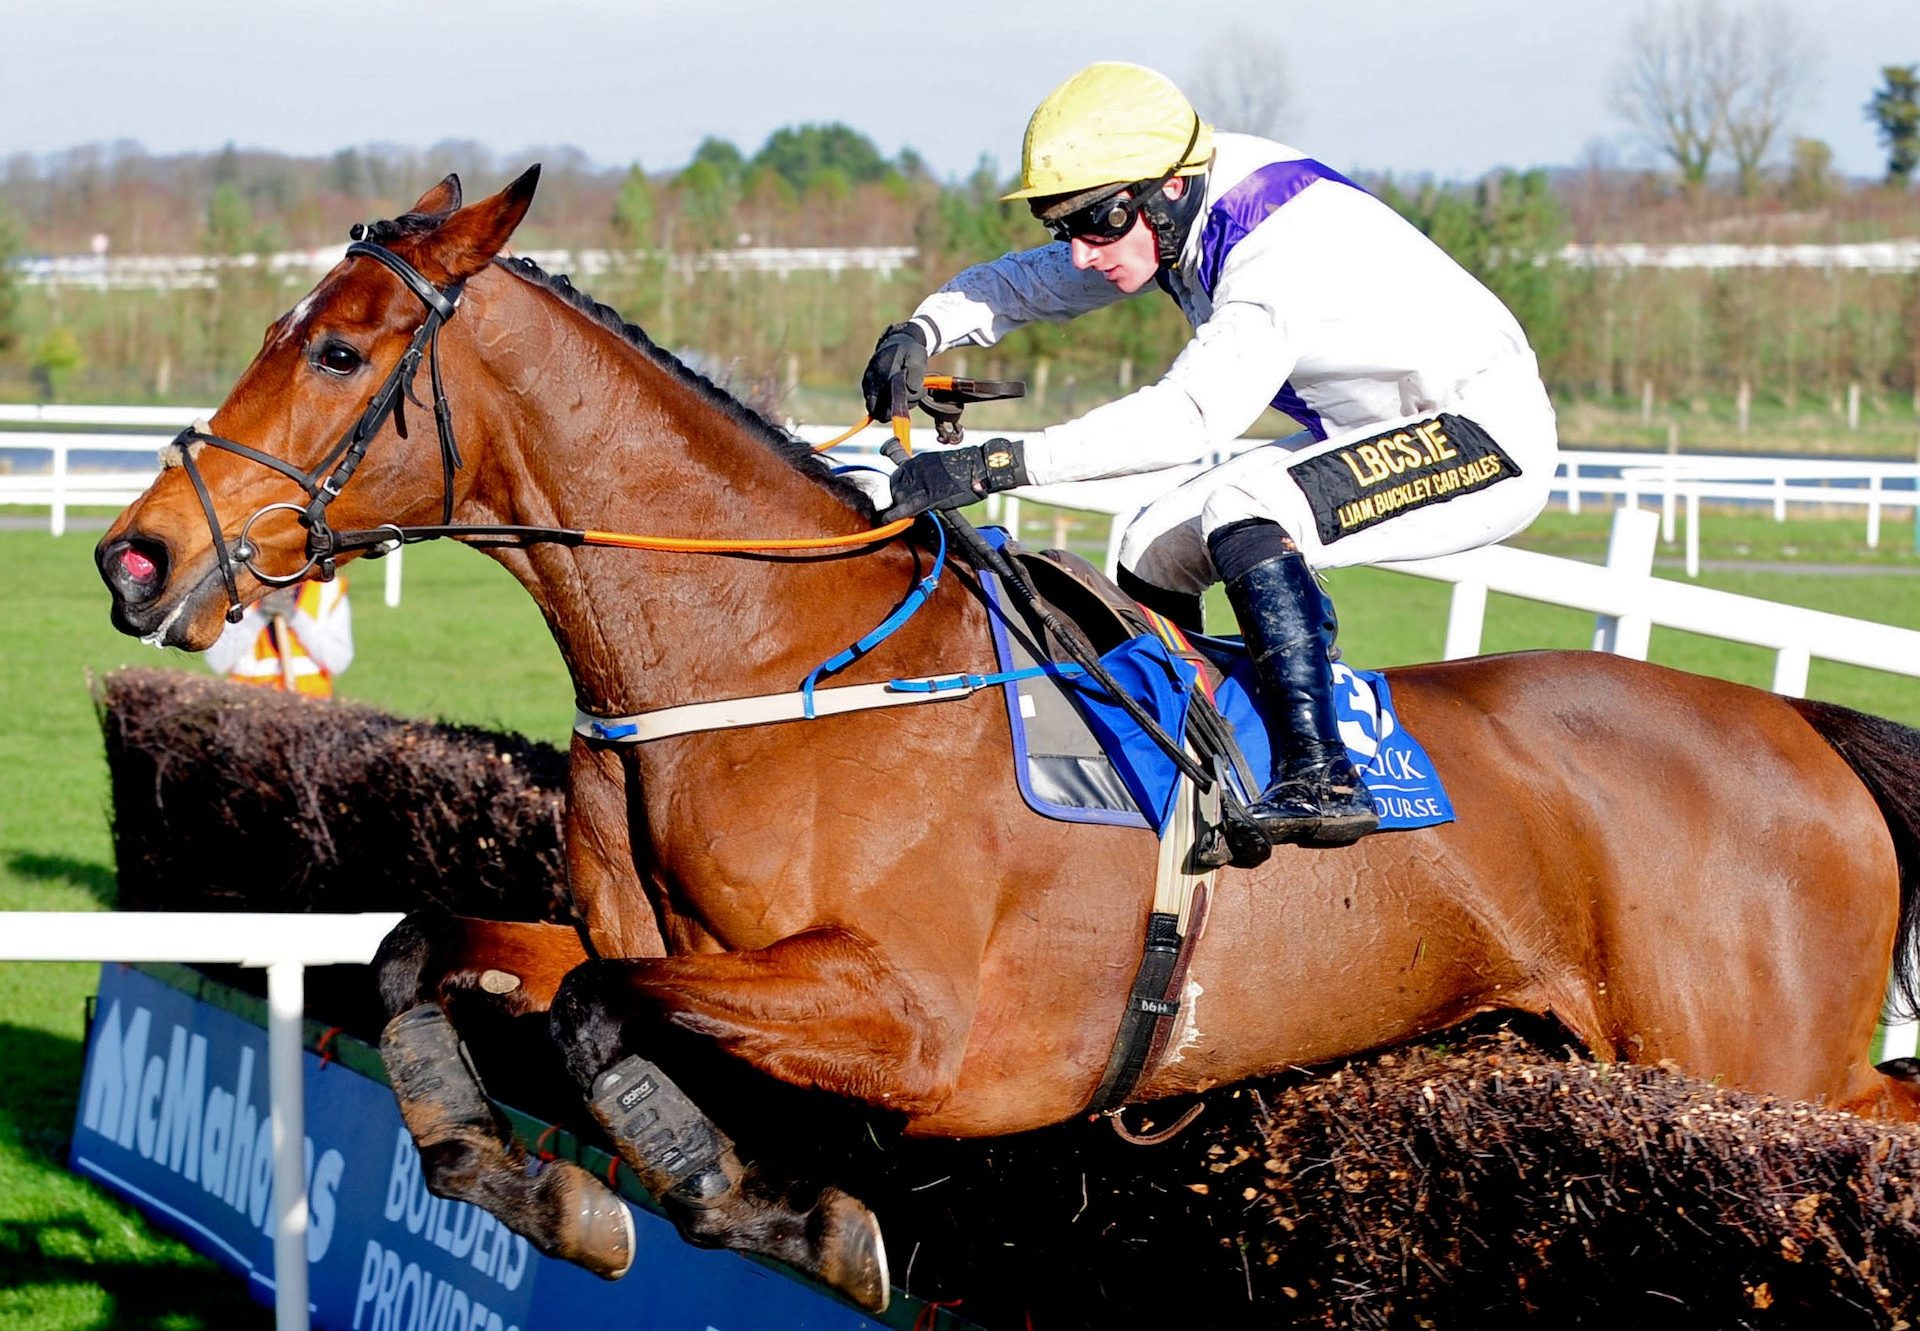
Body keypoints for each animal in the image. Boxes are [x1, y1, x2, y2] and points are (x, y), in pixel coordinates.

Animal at [97, 166, 1920, 1306]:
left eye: (341, 346)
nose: (138, 556)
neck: (771, 668)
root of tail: (1795, 723)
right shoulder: (653, 941)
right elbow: (428, 948)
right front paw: (527, 1170)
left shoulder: (921, 1029)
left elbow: (612, 1020)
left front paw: (764, 1200)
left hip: (1759, 1053)